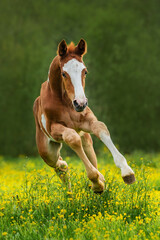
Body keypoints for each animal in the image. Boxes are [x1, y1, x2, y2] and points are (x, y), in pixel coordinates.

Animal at [33, 39, 136, 193]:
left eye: (85, 71)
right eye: (64, 73)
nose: (80, 103)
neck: (65, 101)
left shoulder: (86, 121)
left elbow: (100, 128)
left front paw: (127, 172)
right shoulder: (54, 128)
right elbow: (72, 139)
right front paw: (96, 182)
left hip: (85, 138)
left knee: (85, 153)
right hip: (47, 151)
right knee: (59, 165)